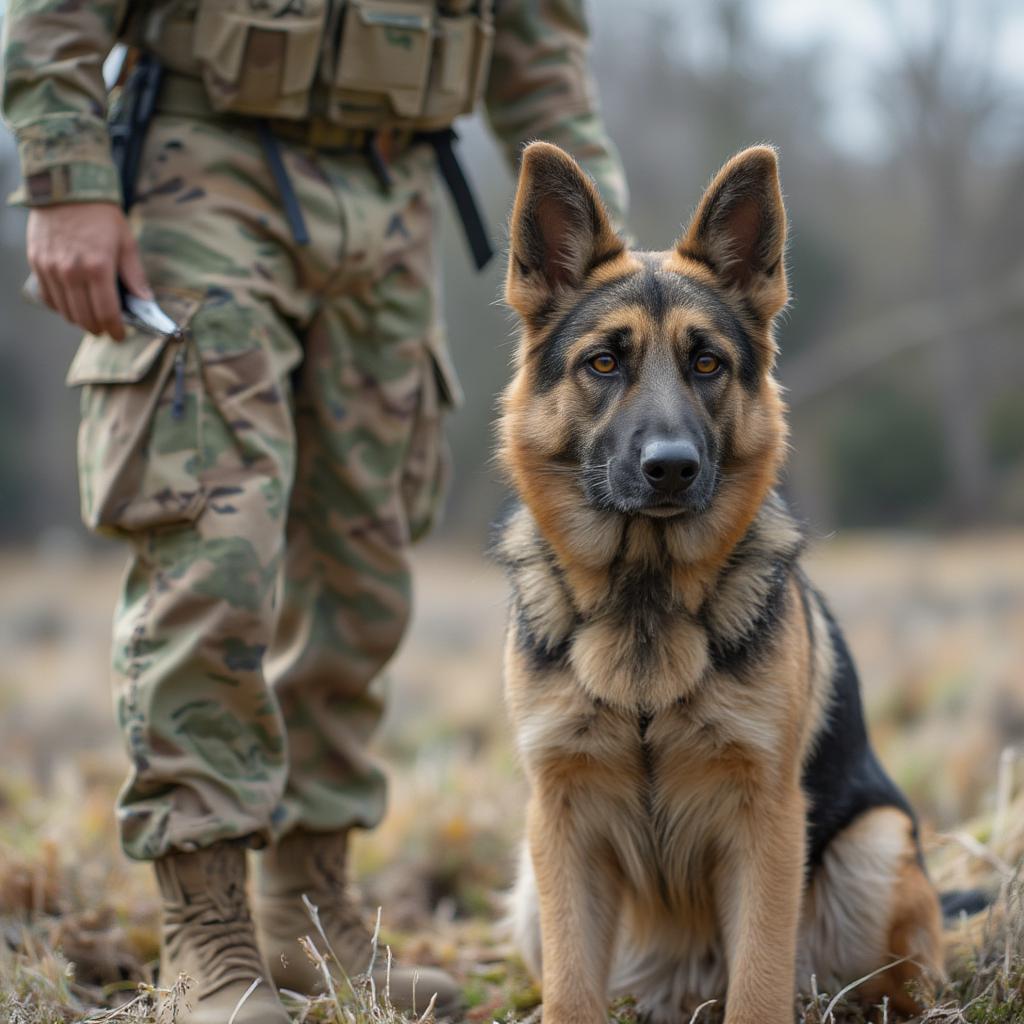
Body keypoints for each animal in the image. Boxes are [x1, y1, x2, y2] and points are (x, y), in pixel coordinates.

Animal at [495, 144, 942, 1024]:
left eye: (708, 363)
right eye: (604, 363)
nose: (671, 467)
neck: (644, 599)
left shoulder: (765, 821)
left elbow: (761, 982)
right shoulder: (559, 821)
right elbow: (570, 988)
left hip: (873, 851)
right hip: (530, 889)